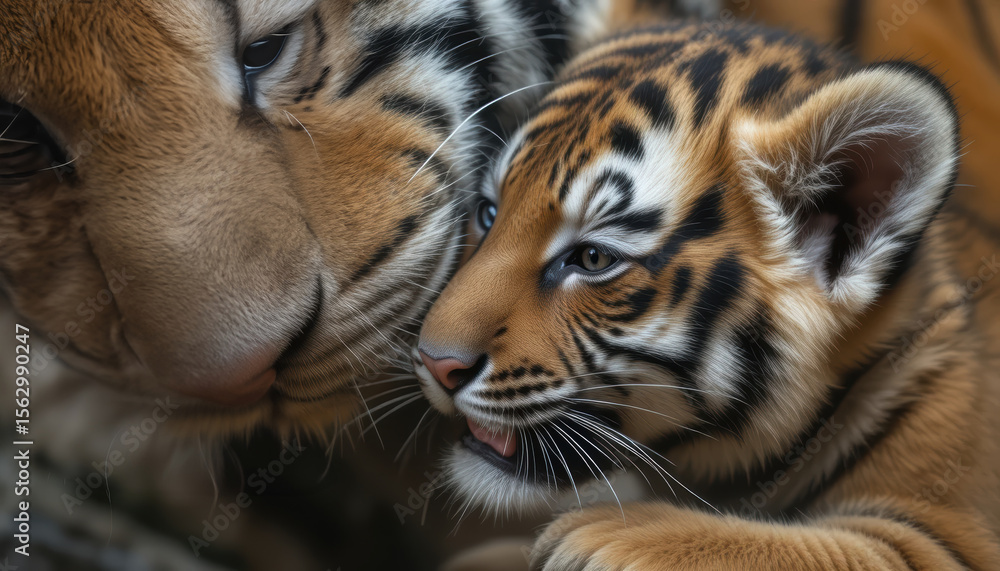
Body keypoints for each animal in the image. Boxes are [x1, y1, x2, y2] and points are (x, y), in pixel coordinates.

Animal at [414, 21, 1000, 570]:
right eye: (489, 212)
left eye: (593, 259)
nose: (434, 363)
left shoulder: (945, 539)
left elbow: (827, 546)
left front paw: (605, 534)